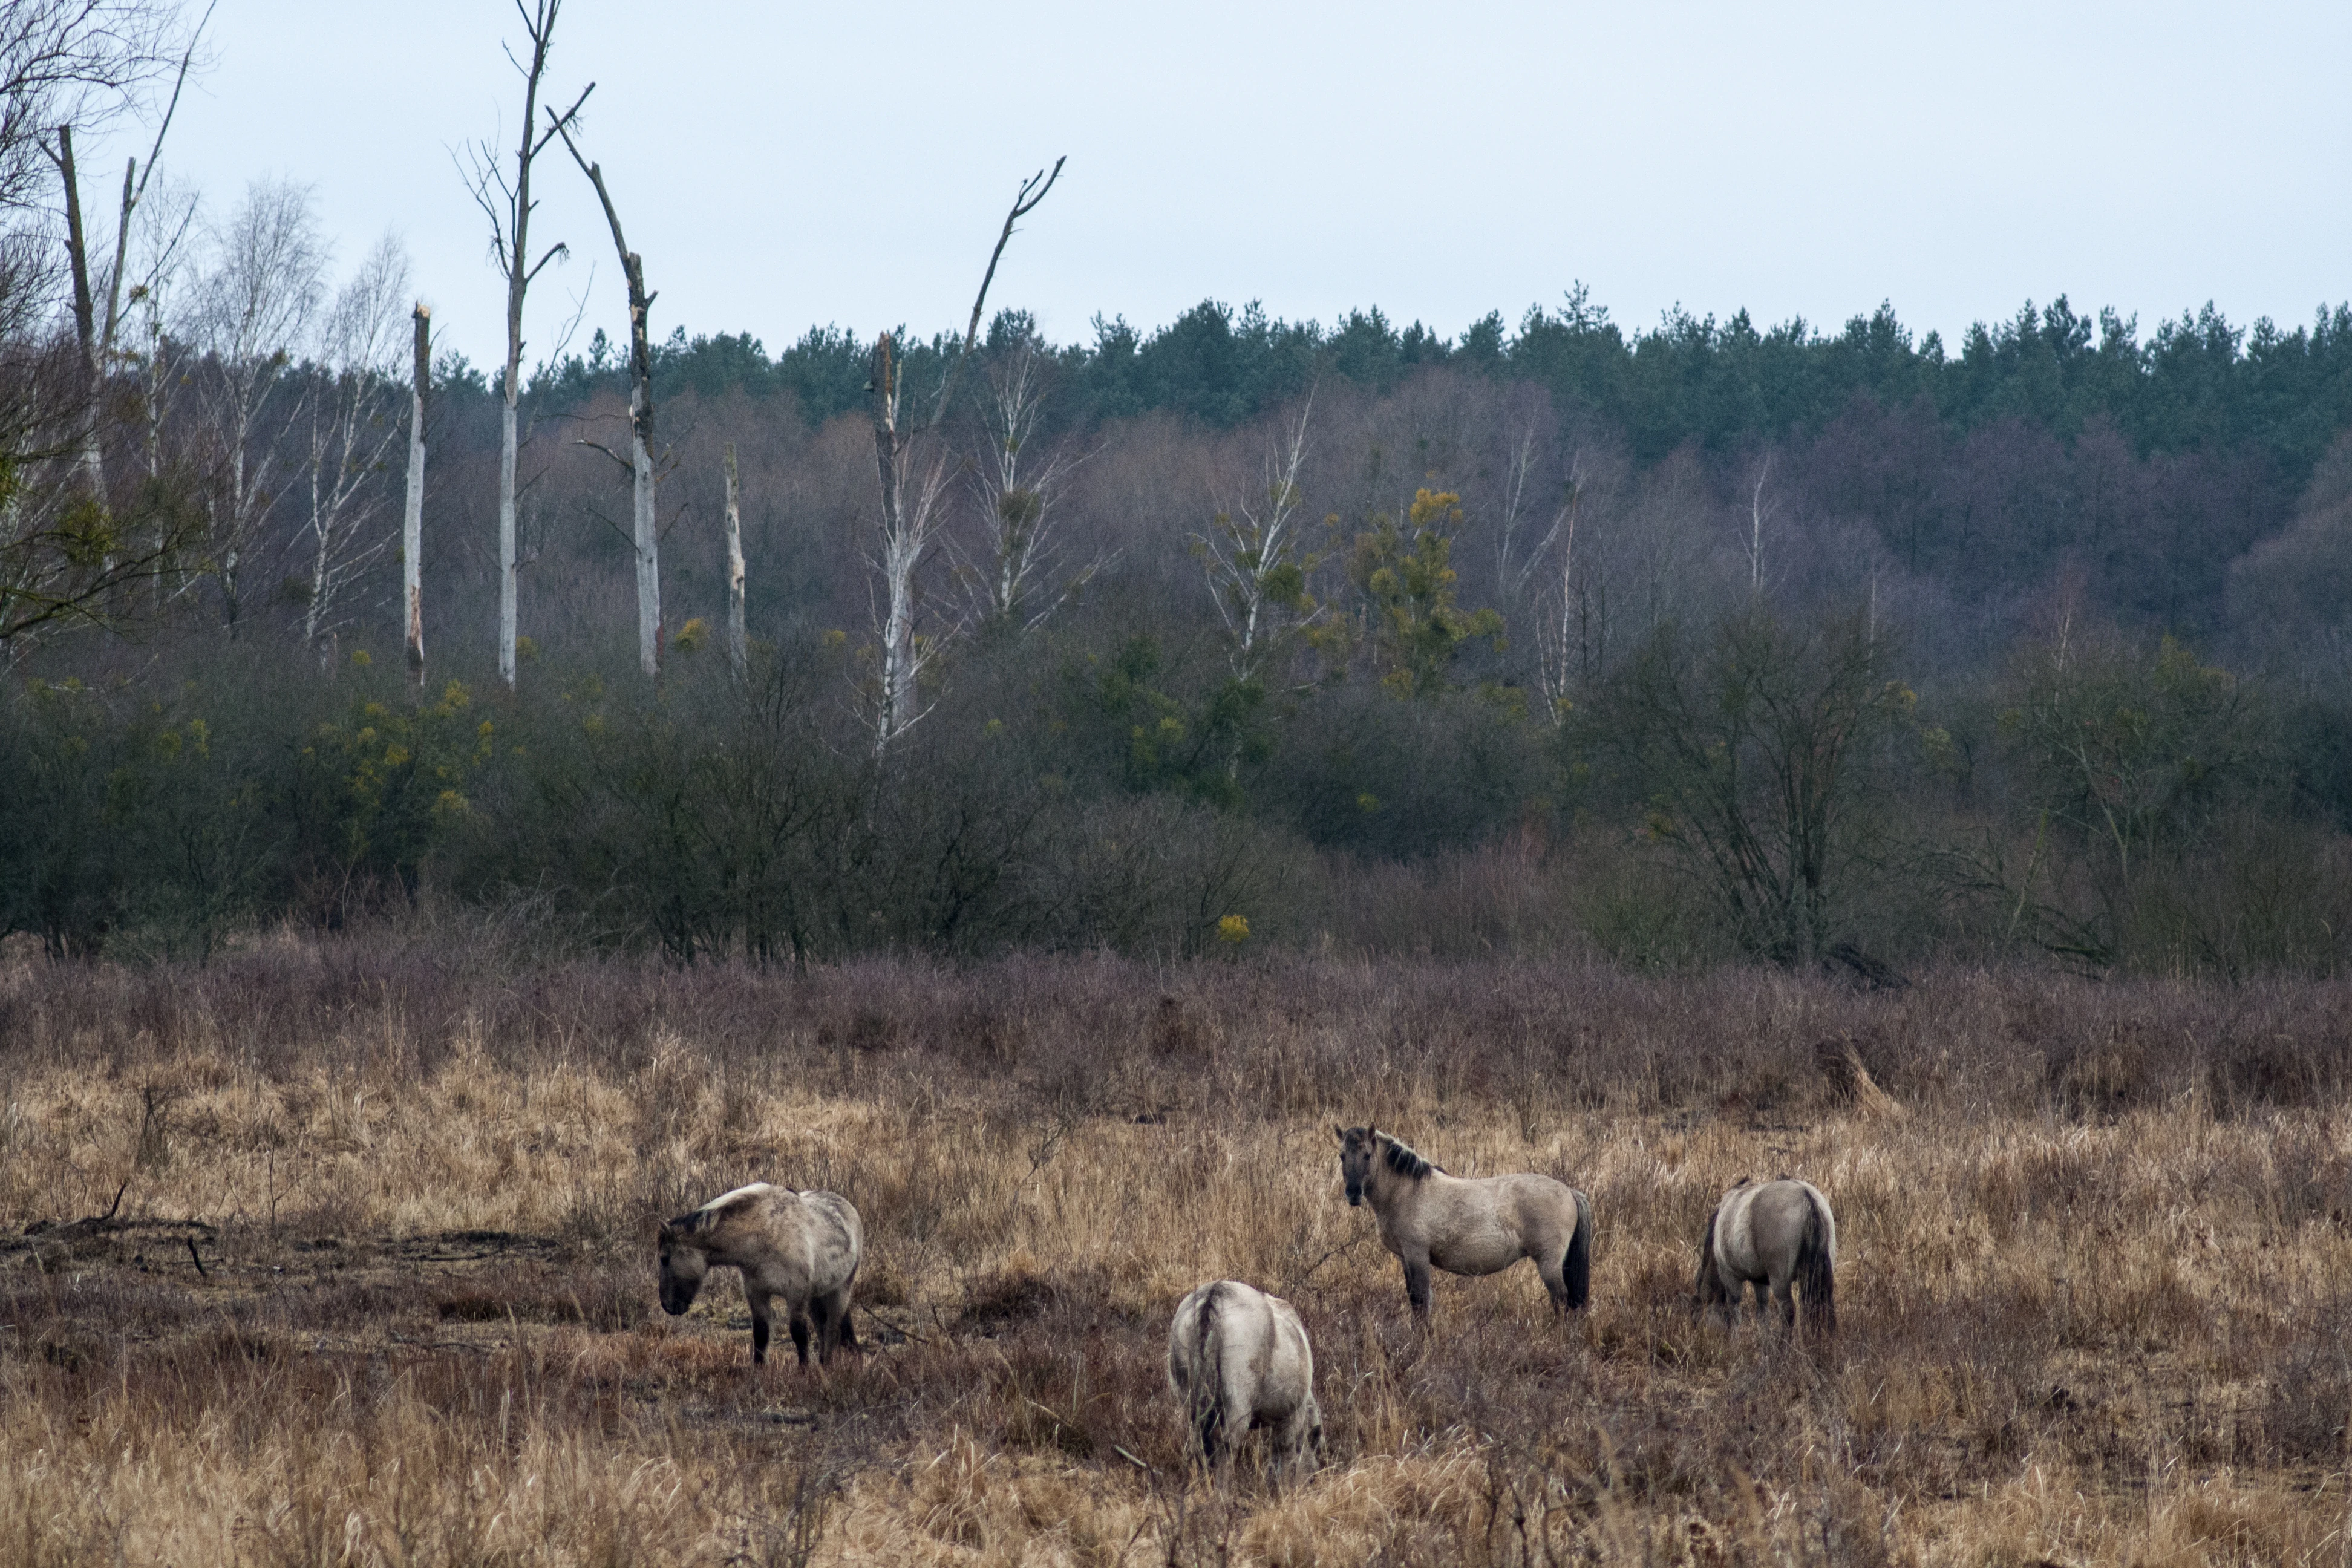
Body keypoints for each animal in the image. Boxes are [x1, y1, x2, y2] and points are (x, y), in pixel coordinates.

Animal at [657, 1183, 864, 1367]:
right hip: (816, 1298)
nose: (667, 1306)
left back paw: (826, 1368)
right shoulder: (757, 1293)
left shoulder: (796, 1295)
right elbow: (761, 1334)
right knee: (823, 1330)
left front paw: (804, 1372)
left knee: (832, 1331)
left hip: (841, 1291)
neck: (765, 1236)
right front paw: (759, 1372)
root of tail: (848, 1207)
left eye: (664, 1259)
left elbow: (799, 1334)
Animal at [1166, 1279, 1324, 1489]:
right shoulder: (1292, 1417)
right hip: (1238, 1406)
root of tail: (1214, 1294)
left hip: (1191, 1404)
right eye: (1313, 1476)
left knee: (1198, 1445)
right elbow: (1286, 1454)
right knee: (1227, 1446)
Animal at [1334, 1124, 1593, 1328]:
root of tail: (1569, 1192)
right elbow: (1415, 1301)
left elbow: (1422, 1300)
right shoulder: (1405, 1258)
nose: (1353, 1194)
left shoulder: (1417, 1255)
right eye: (1342, 1156)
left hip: (1549, 1263)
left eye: (1368, 1155)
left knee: (1561, 1298)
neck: (1407, 1192)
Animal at [1694, 1177, 1836, 1335]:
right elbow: (1762, 1315)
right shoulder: (1760, 1282)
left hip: (1780, 1281)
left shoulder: (1731, 1278)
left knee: (1788, 1311)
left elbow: (1735, 1314)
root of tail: (1806, 1195)